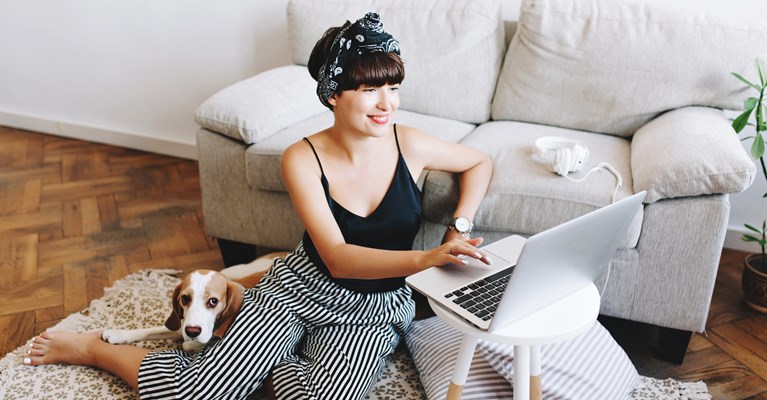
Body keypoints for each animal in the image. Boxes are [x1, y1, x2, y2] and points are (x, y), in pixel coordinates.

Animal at [103, 252, 290, 352]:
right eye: (185, 298)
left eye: (213, 301)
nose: (192, 331)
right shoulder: (182, 324)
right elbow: (152, 330)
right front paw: (119, 334)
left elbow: (188, 344)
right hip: (230, 270)